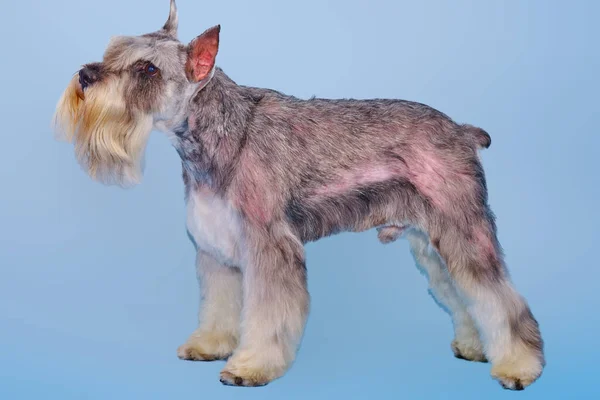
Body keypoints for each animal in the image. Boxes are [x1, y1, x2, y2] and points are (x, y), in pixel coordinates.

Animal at [54, 0, 548, 390]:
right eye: (113, 50)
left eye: (147, 69)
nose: (84, 76)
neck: (216, 133)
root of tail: (461, 131)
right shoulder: (216, 250)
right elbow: (218, 307)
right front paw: (209, 346)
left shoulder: (269, 247)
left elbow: (267, 316)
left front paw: (249, 367)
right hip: (431, 245)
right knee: (463, 297)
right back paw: (475, 347)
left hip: (464, 234)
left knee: (502, 300)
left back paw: (519, 367)